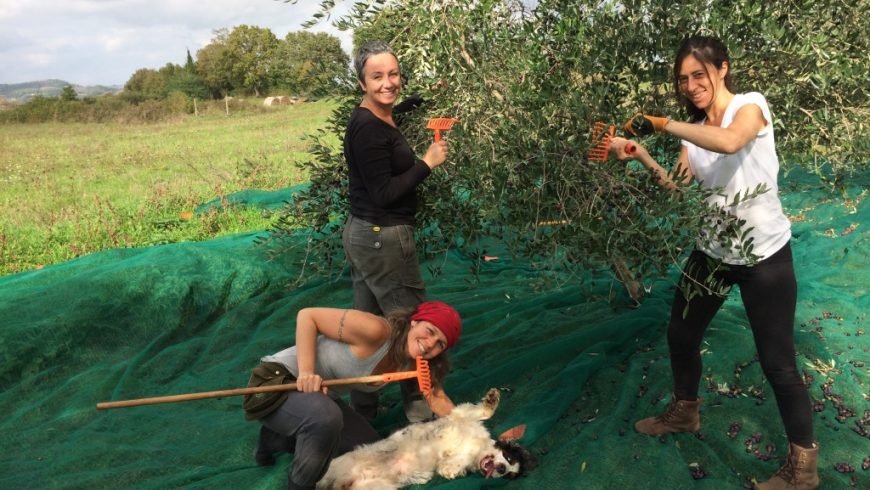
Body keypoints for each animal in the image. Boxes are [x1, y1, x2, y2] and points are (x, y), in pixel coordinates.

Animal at [318, 388, 540, 488]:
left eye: (510, 474)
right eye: (508, 457)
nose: (502, 469)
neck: (477, 446)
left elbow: (454, 463)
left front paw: (450, 470)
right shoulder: (462, 416)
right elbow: (484, 412)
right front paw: (492, 399)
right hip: (329, 471)